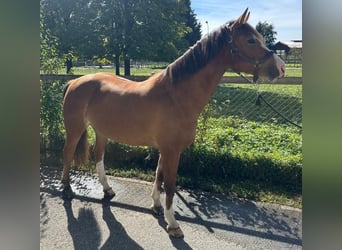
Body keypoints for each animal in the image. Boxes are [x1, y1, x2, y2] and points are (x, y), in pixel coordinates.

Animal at [62, 8, 286, 237]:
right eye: (250, 40)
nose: (281, 67)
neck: (175, 96)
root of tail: (75, 81)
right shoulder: (172, 150)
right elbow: (169, 184)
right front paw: (173, 224)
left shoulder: (166, 150)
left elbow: (159, 176)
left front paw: (156, 206)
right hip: (74, 129)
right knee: (68, 153)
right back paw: (67, 189)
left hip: (101, 131)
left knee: (98, 155)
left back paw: (107, 189)